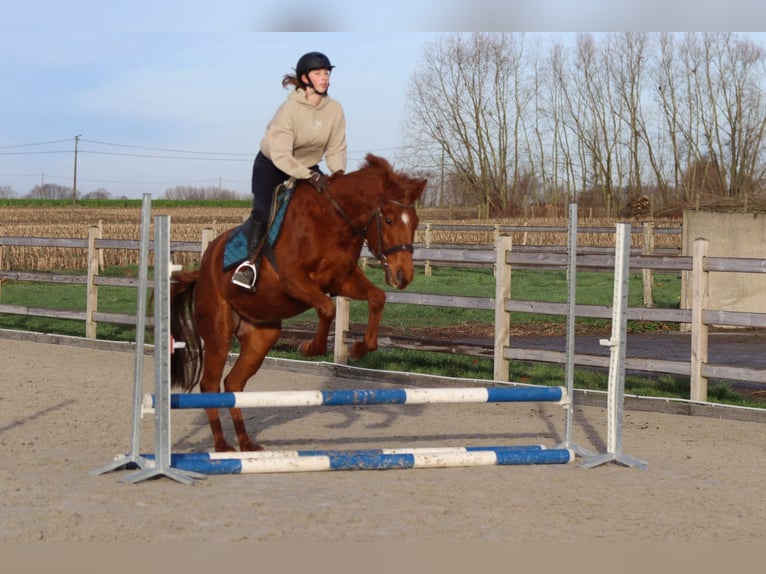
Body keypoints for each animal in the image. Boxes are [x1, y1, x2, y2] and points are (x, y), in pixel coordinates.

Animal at [169, 154, 427, 452]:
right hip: (218, 333)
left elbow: (377, 298)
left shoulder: (342, 281)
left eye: (415, 222)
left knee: (233, 383)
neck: (332, 219)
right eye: (388, 220)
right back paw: (223, 446)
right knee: (210, 385)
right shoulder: (293, 280)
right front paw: (311, 348)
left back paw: (246, 443)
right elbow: (326, 308)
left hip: (261, 336)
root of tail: (202, 270)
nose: (403, 276)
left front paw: (360, 348)